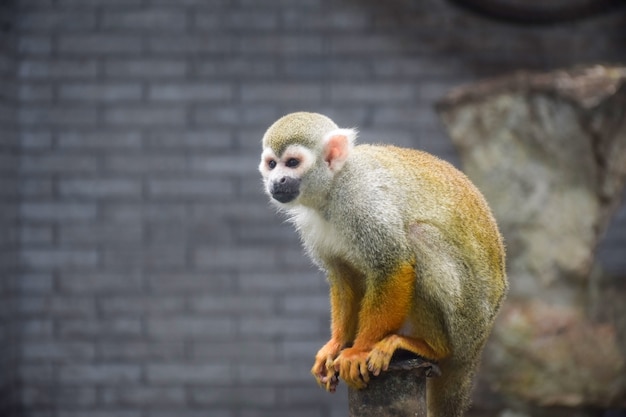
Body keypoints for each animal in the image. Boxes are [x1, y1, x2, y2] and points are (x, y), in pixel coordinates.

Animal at [258, 111, 508, 416]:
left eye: (292, 163)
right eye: (271, 164)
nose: (277, 180)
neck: (333, 187)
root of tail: (478, 346)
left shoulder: (363, 202)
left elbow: (393, 265)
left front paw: (358, 351)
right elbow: (343, 276)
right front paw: (336, 344)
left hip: (467, 320)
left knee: (419, 236)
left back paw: (429, 347)